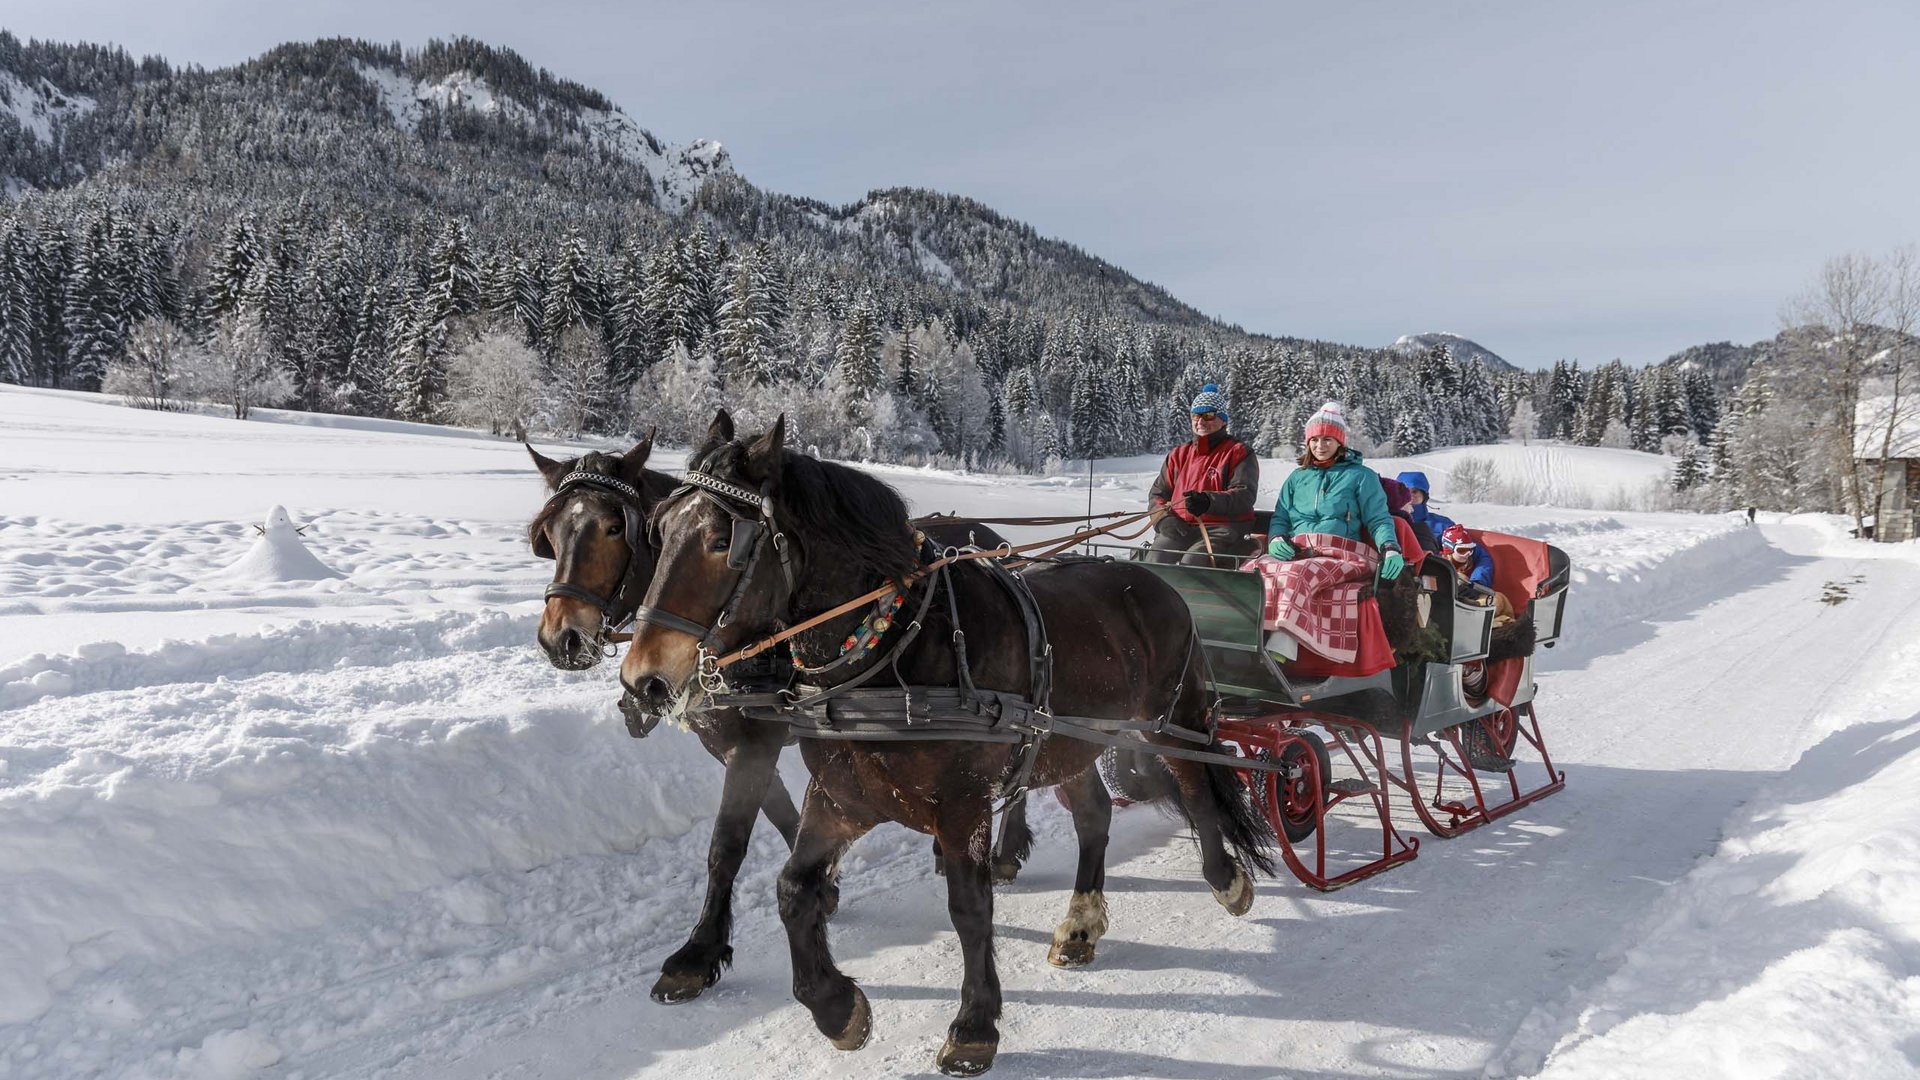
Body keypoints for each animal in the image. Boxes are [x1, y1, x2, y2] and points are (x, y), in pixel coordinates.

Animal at [526, 434, 1044, 999]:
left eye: (614, 527)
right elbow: (782, 816)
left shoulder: (757, 740)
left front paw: (698, 952)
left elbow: (727, 844)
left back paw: (1007, 849)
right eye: (550, 533)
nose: (560, 639)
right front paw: (827, 886)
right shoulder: (734, 742)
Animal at [618, 409, 1274, 1068]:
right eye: (658, 529)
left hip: (1170, 719)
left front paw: (975, 1024)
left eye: (722, 541)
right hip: (1068, 742)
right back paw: (1081, 924)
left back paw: (1226, 878)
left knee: (1196, 784)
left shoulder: (961, 805)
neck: (893, 647)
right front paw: (836, 1007)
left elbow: (968, 906)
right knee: (1094, 814)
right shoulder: (840, 796)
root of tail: (1158, 579)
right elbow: (791, 887)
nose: (643, 680)